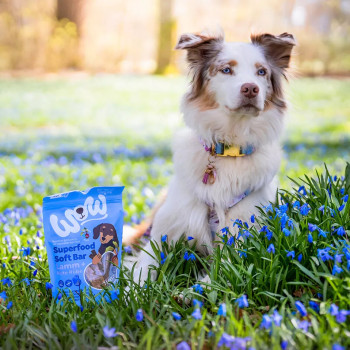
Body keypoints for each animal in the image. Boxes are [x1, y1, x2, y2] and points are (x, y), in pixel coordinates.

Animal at [130, 28, 294, 284]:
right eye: (226, 69)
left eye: (261, 72)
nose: (251, 88)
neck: (228, 148)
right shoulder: (161, 235)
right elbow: (141, 272)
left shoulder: (242, 240)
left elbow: (214, 277)